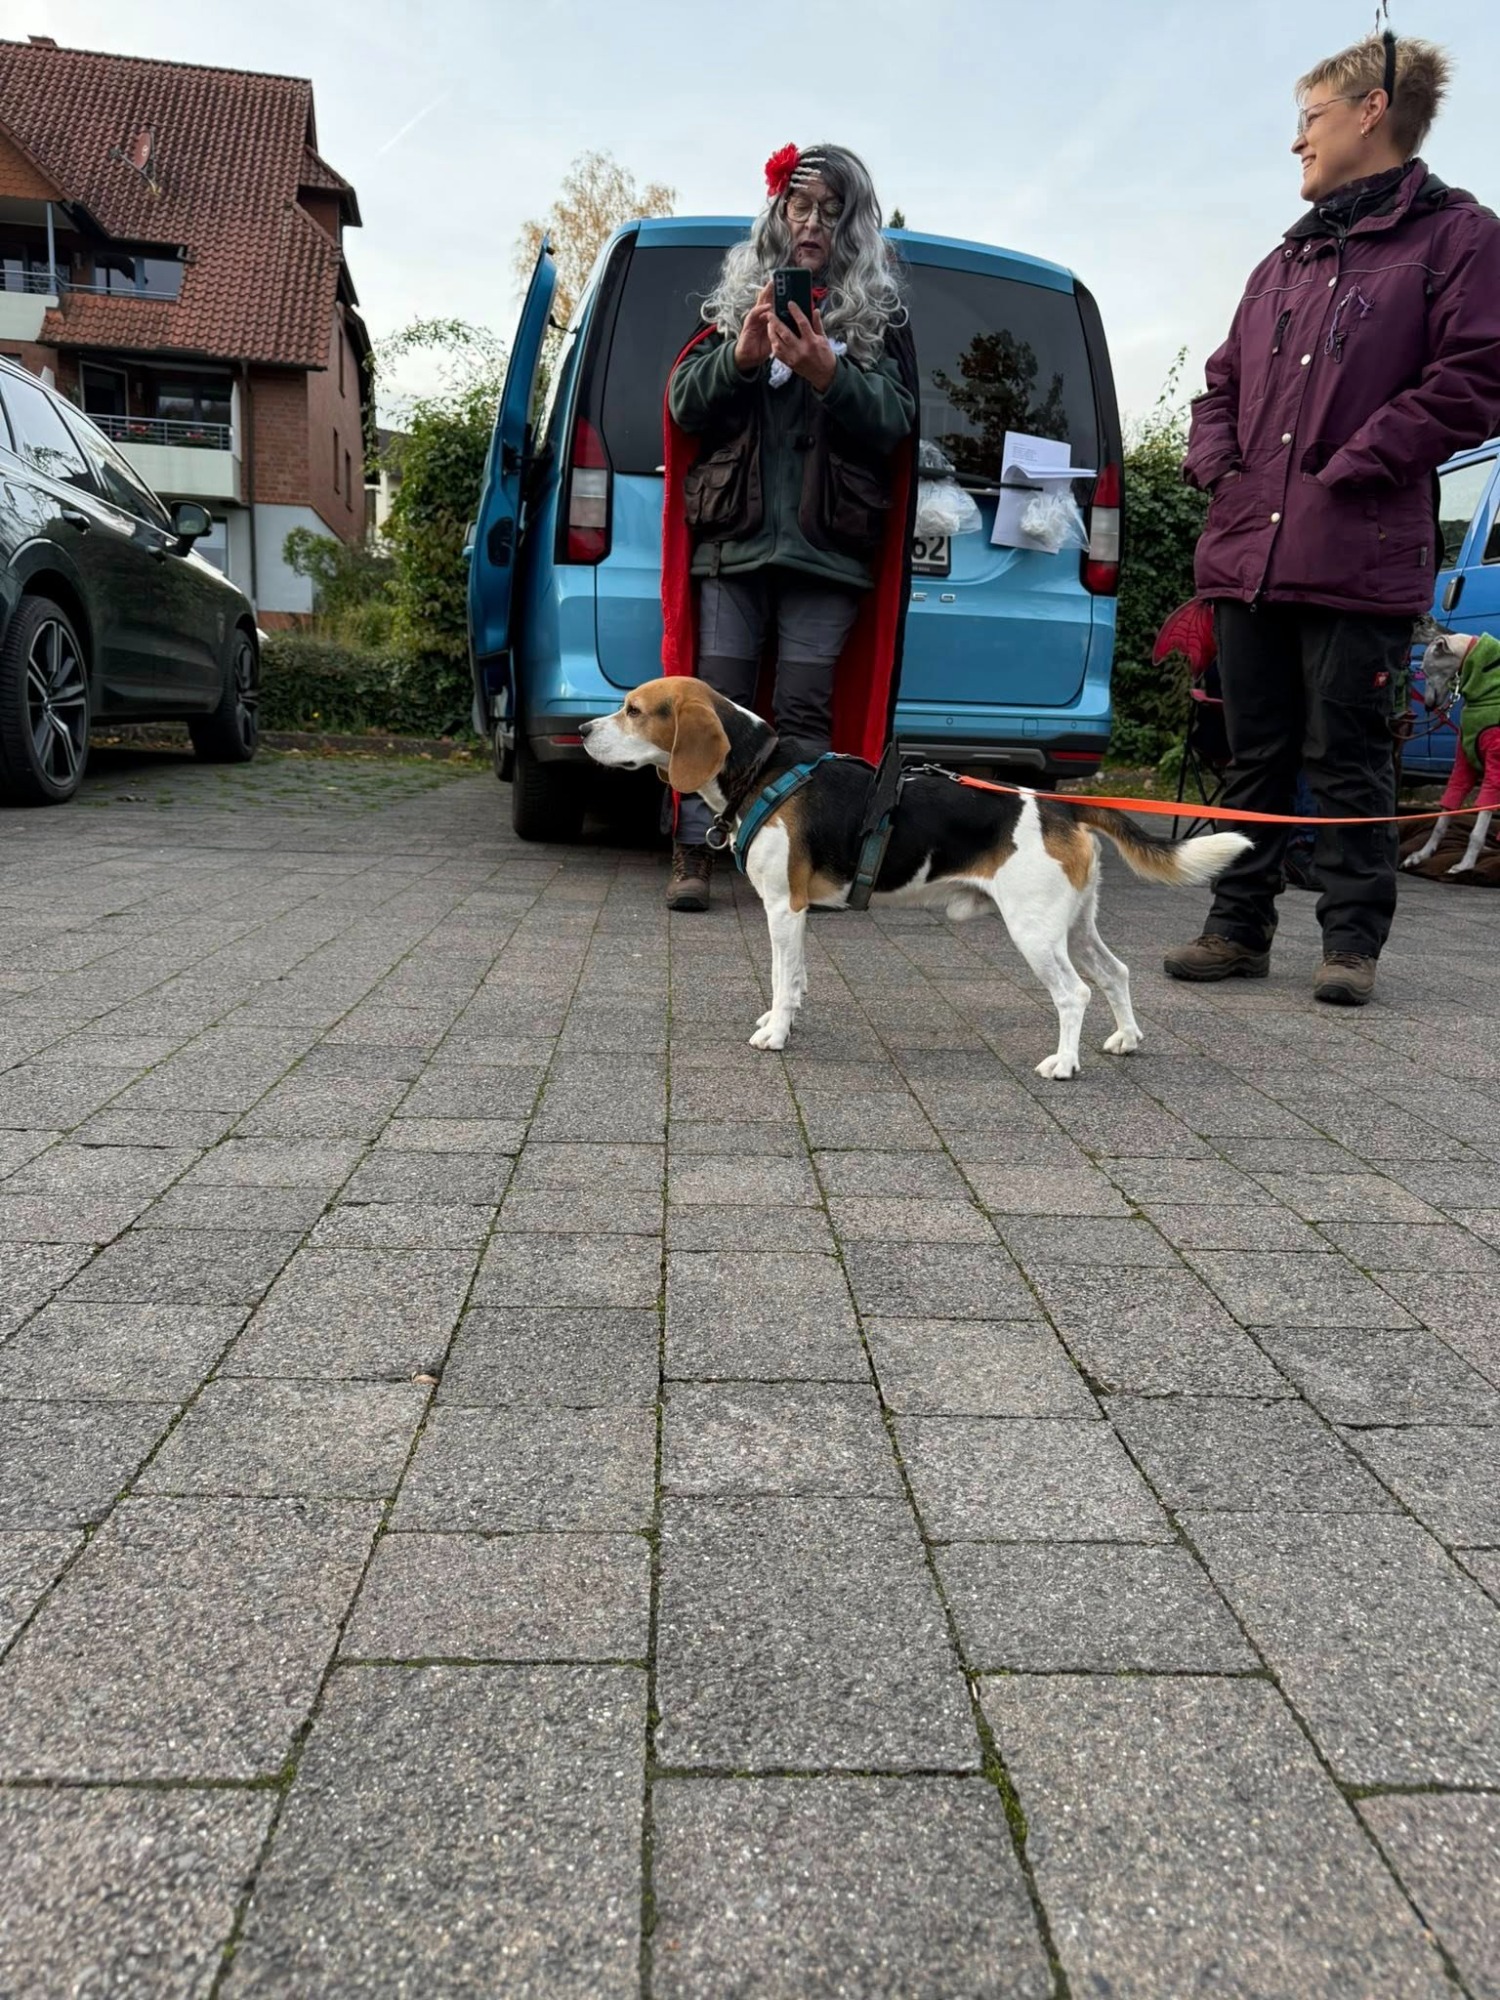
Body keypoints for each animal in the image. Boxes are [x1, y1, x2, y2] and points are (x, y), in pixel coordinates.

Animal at [582, 679, 1251, 1079]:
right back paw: (1127, 1040)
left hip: (1035, 931)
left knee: (1074, 993)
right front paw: (784, 1021)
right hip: (1076, 926)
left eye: (633, 710)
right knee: (1115, 974)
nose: (586, 731)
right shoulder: (796, 913)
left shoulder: (783, 906)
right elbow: (794, 979)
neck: (762, 768)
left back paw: (1063, 1064)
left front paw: (775, 1034)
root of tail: (1061, 807)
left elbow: (778, 978)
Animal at [1402, 631, 1500, 877]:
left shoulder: (1495, 767)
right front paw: (1420, 855)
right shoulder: (1464, 761)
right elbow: (1444, 814)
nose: (1428, 706)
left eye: (1427, 669)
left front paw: (1466, 864)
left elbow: (1478, 827)